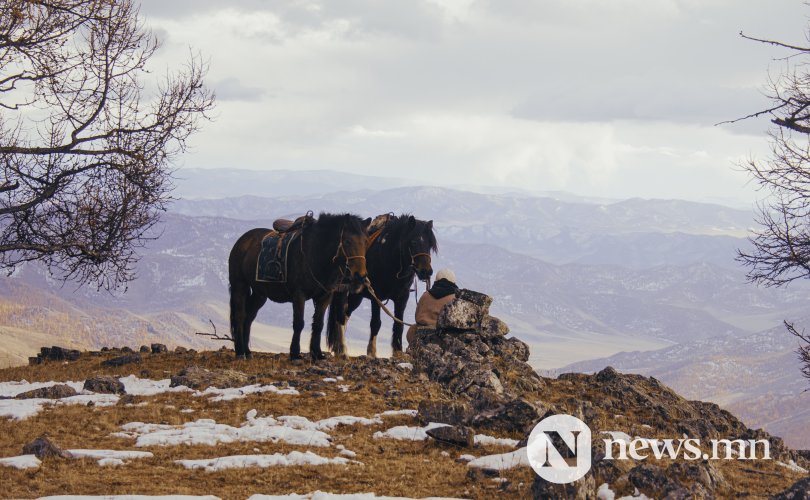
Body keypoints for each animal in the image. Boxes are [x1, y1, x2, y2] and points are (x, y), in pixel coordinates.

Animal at [226, 213, 368, 362]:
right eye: (347, 241)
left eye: (365, 241)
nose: (360, 276)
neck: (315, 253)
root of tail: (242, 241)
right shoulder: (299, 295)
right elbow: (299, 323)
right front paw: (295, 354)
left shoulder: (325, 296)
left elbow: (318, 324)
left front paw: (317, 354)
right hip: (239, 286)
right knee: (240, 316)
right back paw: (240, 352)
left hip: (260, 294)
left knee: (249, 317)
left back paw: (247, 352)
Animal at [326, 213, 436, 358]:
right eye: (413, 242)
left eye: (430, 244)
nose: (426, 272)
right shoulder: (376, 296)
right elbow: (376, 323)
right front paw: (371, 352)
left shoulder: (402, 298)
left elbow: (398, 324)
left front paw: (397, 351)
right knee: (340, 315)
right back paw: (341, 348)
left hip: (357, 296)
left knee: (346, 313)